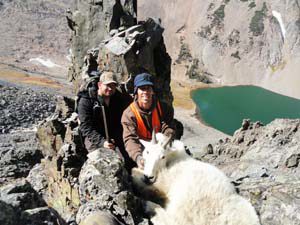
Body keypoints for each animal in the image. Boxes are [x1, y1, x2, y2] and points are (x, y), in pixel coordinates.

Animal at [131, 133, 260, 224]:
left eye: (162, 156)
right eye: (147, 152)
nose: (148, 177)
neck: (173, 159)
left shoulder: (164, 182)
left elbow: (137, 175)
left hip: (185, 202)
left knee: (176, 221)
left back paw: (150, 206)